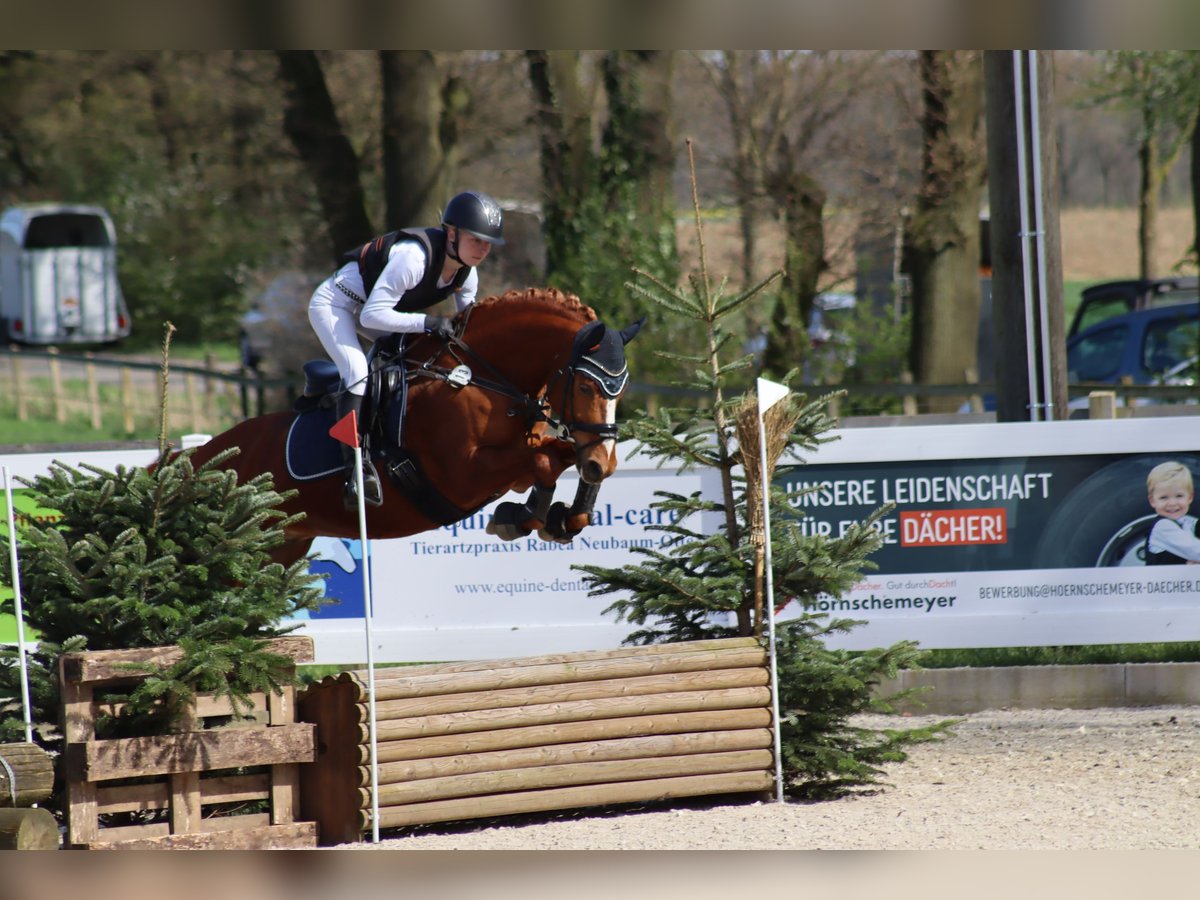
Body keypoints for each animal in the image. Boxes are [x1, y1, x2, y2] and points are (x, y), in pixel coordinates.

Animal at [187, 289, 643, 566]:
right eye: (586, 385)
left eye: (620, 388)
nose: (602, 461)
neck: (476, 378)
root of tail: (200, 459)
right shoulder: (462, 475)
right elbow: (546, 461)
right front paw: (521, 517)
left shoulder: (517, 458)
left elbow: (554, 457)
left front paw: (560, 518)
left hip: (282, 549)